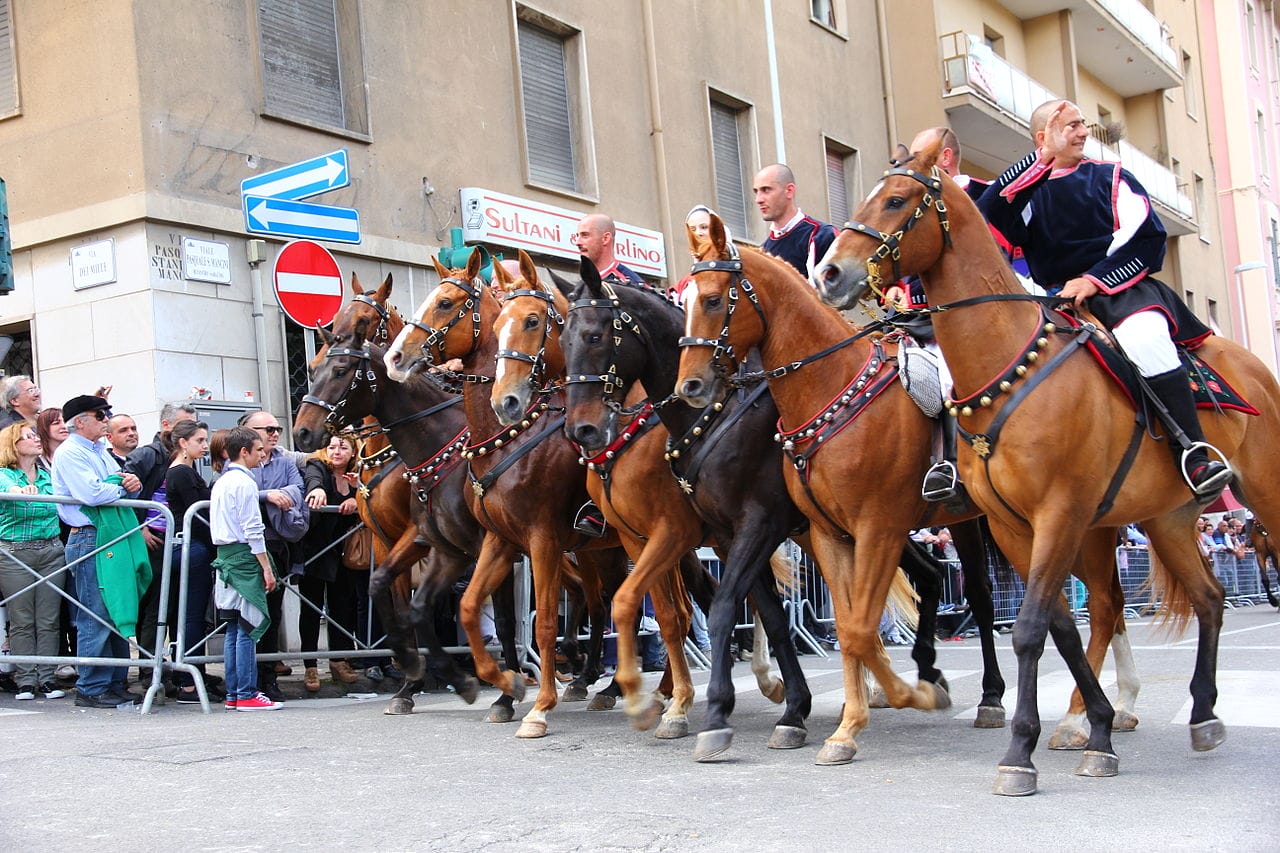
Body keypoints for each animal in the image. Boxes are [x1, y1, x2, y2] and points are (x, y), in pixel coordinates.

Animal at [378, 249, 691, 732]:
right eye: (499, 325)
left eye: (445, 303)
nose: (395, 358)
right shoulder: (494, 541)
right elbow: (468, 607)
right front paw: (503, 685)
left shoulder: (540, 540)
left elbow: (541, 623)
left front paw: (538, 706)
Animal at [486, 251, 808, 753]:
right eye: (565, 338)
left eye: (534, 322)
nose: (506, 402)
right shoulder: (635, 538)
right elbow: (664, 615)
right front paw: (668, 702)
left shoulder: (668, 532)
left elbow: (631, 608)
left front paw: (643, 698)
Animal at [814, 133, 1280, 788]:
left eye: (897, 200)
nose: (830, 274)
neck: (1006, 364)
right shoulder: (1015, 526)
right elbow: (1057, 625)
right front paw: (1093, 728)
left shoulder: (1058, 513)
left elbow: (1032, 626)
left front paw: (1022, 750)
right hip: (1165, 518)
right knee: (1205, 599)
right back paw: (1202, 713)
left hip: (1260, 492)